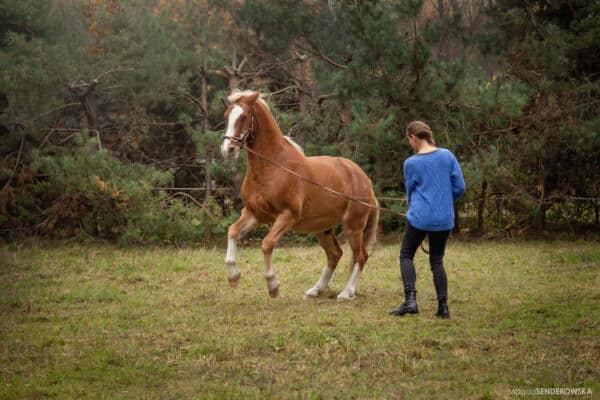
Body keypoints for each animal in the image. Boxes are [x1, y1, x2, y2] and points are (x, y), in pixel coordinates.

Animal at [220, 89, 380, 298]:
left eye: (244, 117)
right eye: (226, 116)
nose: (228, 150)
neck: (272, 168)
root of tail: (363, 179)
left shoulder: (287, 216)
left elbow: (267, 243)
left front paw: (273, 285)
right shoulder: (255, 214)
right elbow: (232, 231)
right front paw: (233, 276)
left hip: (353, 226)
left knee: (360, 255)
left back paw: (347, 292)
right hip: (323, 228)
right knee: (335, 255)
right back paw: (315, 290)